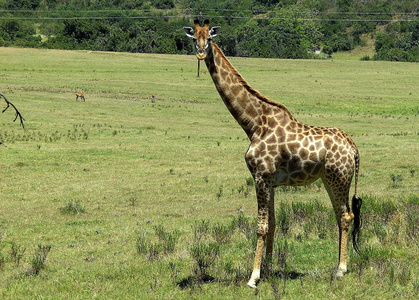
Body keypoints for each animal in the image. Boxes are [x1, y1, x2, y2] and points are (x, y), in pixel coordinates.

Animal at [185, 20, 364, 288]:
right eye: (194, 37)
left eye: (209, 37)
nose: (200, 51)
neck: (253, 123)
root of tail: (353, 148)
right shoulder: (270, 181)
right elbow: (272, 224)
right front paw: (268, 271)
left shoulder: (261, 175)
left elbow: (261, 226)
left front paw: (253, 277)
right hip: (330, 179)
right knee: (340, 214)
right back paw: (337, 266)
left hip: (339, 178)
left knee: (345, 216)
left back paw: (341, 270)